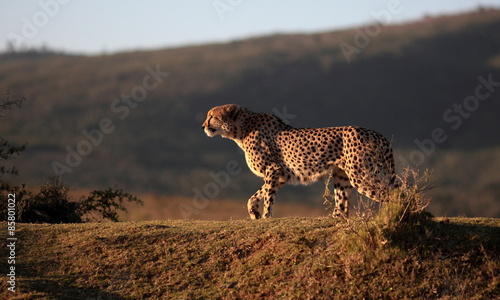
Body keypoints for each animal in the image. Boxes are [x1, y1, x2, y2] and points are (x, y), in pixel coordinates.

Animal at [201, 104, 396, 219]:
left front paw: (266, 216)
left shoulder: (273, 169)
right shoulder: (280, 175)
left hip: (360, 175)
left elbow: (268, 196)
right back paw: (335, 218)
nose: (203, 126)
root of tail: (375, 133)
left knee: (390, 192)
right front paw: (254, 212)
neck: (242, 129)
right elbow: (257, 194)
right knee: (343, 203)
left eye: (212, 116)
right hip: (342, 176)